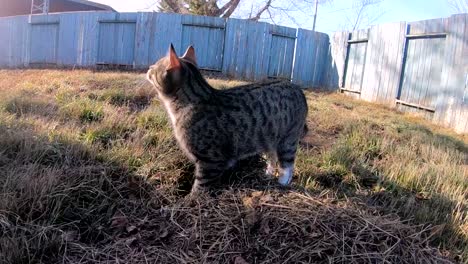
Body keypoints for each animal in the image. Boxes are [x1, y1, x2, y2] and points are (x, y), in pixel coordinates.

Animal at [146, 44, 308, 194]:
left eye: (154, 67)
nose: (148, 68)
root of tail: (296, 87)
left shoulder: (211, 161)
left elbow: (201, 185)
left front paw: (191, 199)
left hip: (288, 139)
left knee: (287, 165)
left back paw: (282, 183)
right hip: (270, 137)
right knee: (272, 155)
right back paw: (267, 174)